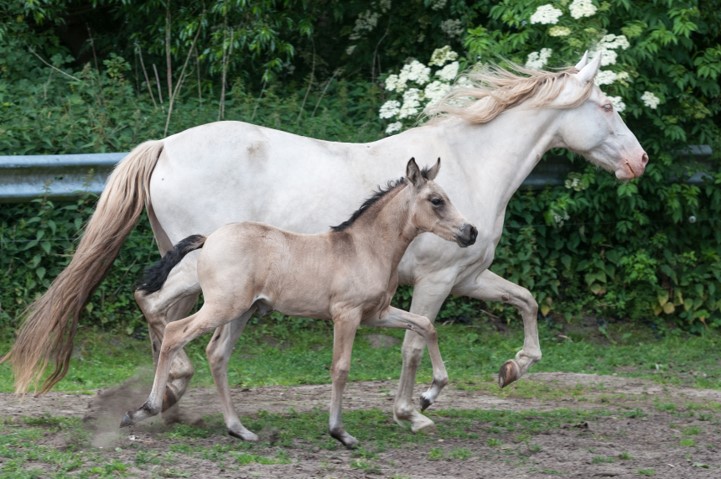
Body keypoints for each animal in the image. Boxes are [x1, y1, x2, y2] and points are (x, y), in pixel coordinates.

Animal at [121, 158, 476, 450]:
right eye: (437, 200)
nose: (470, 231)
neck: (365, 248)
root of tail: (209, 239)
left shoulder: (377, 314)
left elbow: (426, 326)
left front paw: (429, 395)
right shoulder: (346, 314)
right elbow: (340, 368)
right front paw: (340, 433)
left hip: (242, 311)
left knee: (217, 354)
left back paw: (239, 429)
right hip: (222, 306)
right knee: (175, 332)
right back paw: (143, 410)